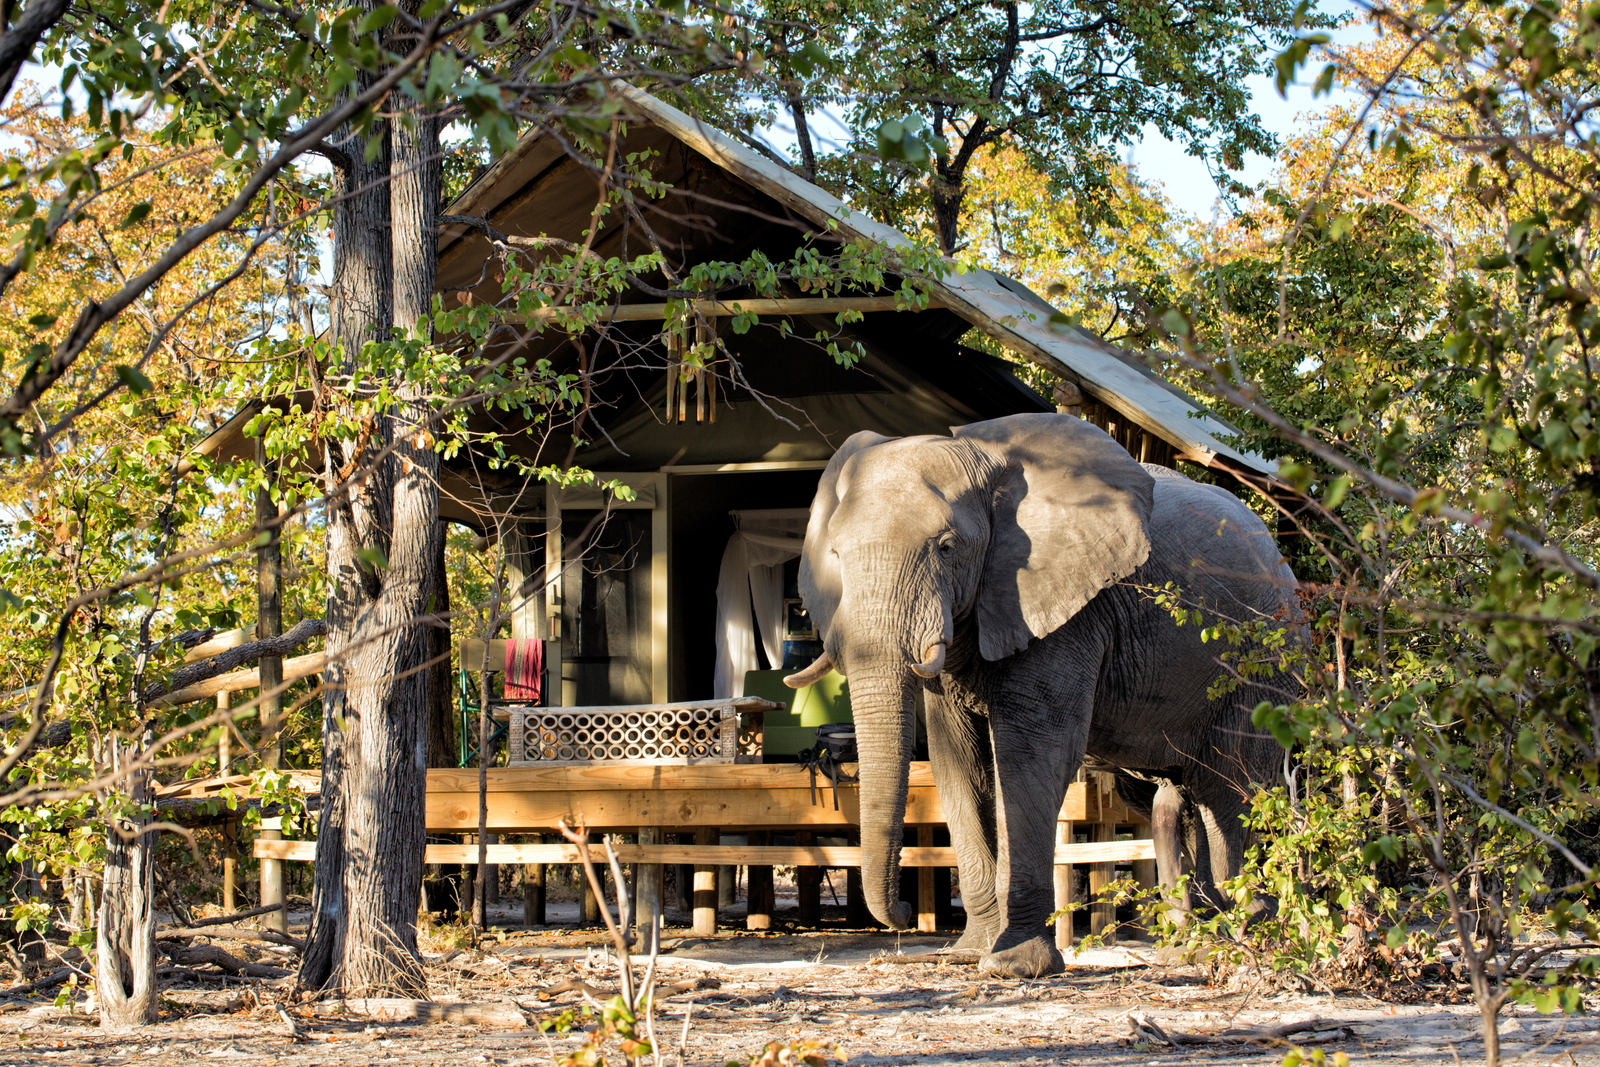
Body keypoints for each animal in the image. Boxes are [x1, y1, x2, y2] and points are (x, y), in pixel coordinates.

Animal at [783, 412, 1299, 978]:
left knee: (1229, 787)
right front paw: (972, 953)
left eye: (947, 547)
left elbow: (1031, 755)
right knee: (1174, 794)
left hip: (1266, 663)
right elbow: (957, 759)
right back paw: (1197, 944)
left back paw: (1252, 933)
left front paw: (1014, 965)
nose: (899, 912)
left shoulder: (1068, 612)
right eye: (835, 555)